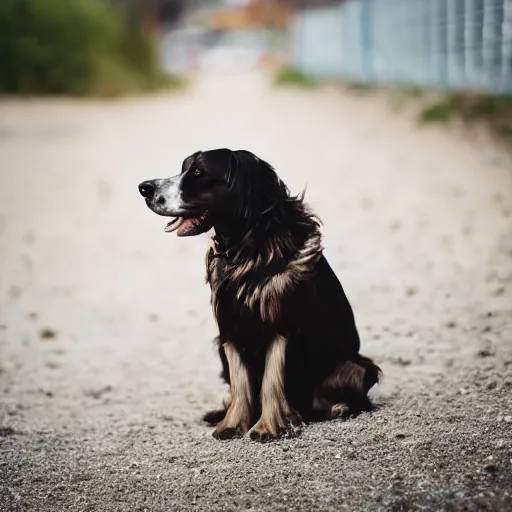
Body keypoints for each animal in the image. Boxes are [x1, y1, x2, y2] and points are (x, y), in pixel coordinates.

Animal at [140, 148, 380, 440]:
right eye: (184, 167)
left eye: (198, 172)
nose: (144, 188)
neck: (247, 250)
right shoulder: (229, 328)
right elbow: (241, 381)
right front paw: (231, 425)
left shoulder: (281, 326)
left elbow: (271, 379)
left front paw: (268, 428)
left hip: (357, 367)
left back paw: (340, 407)